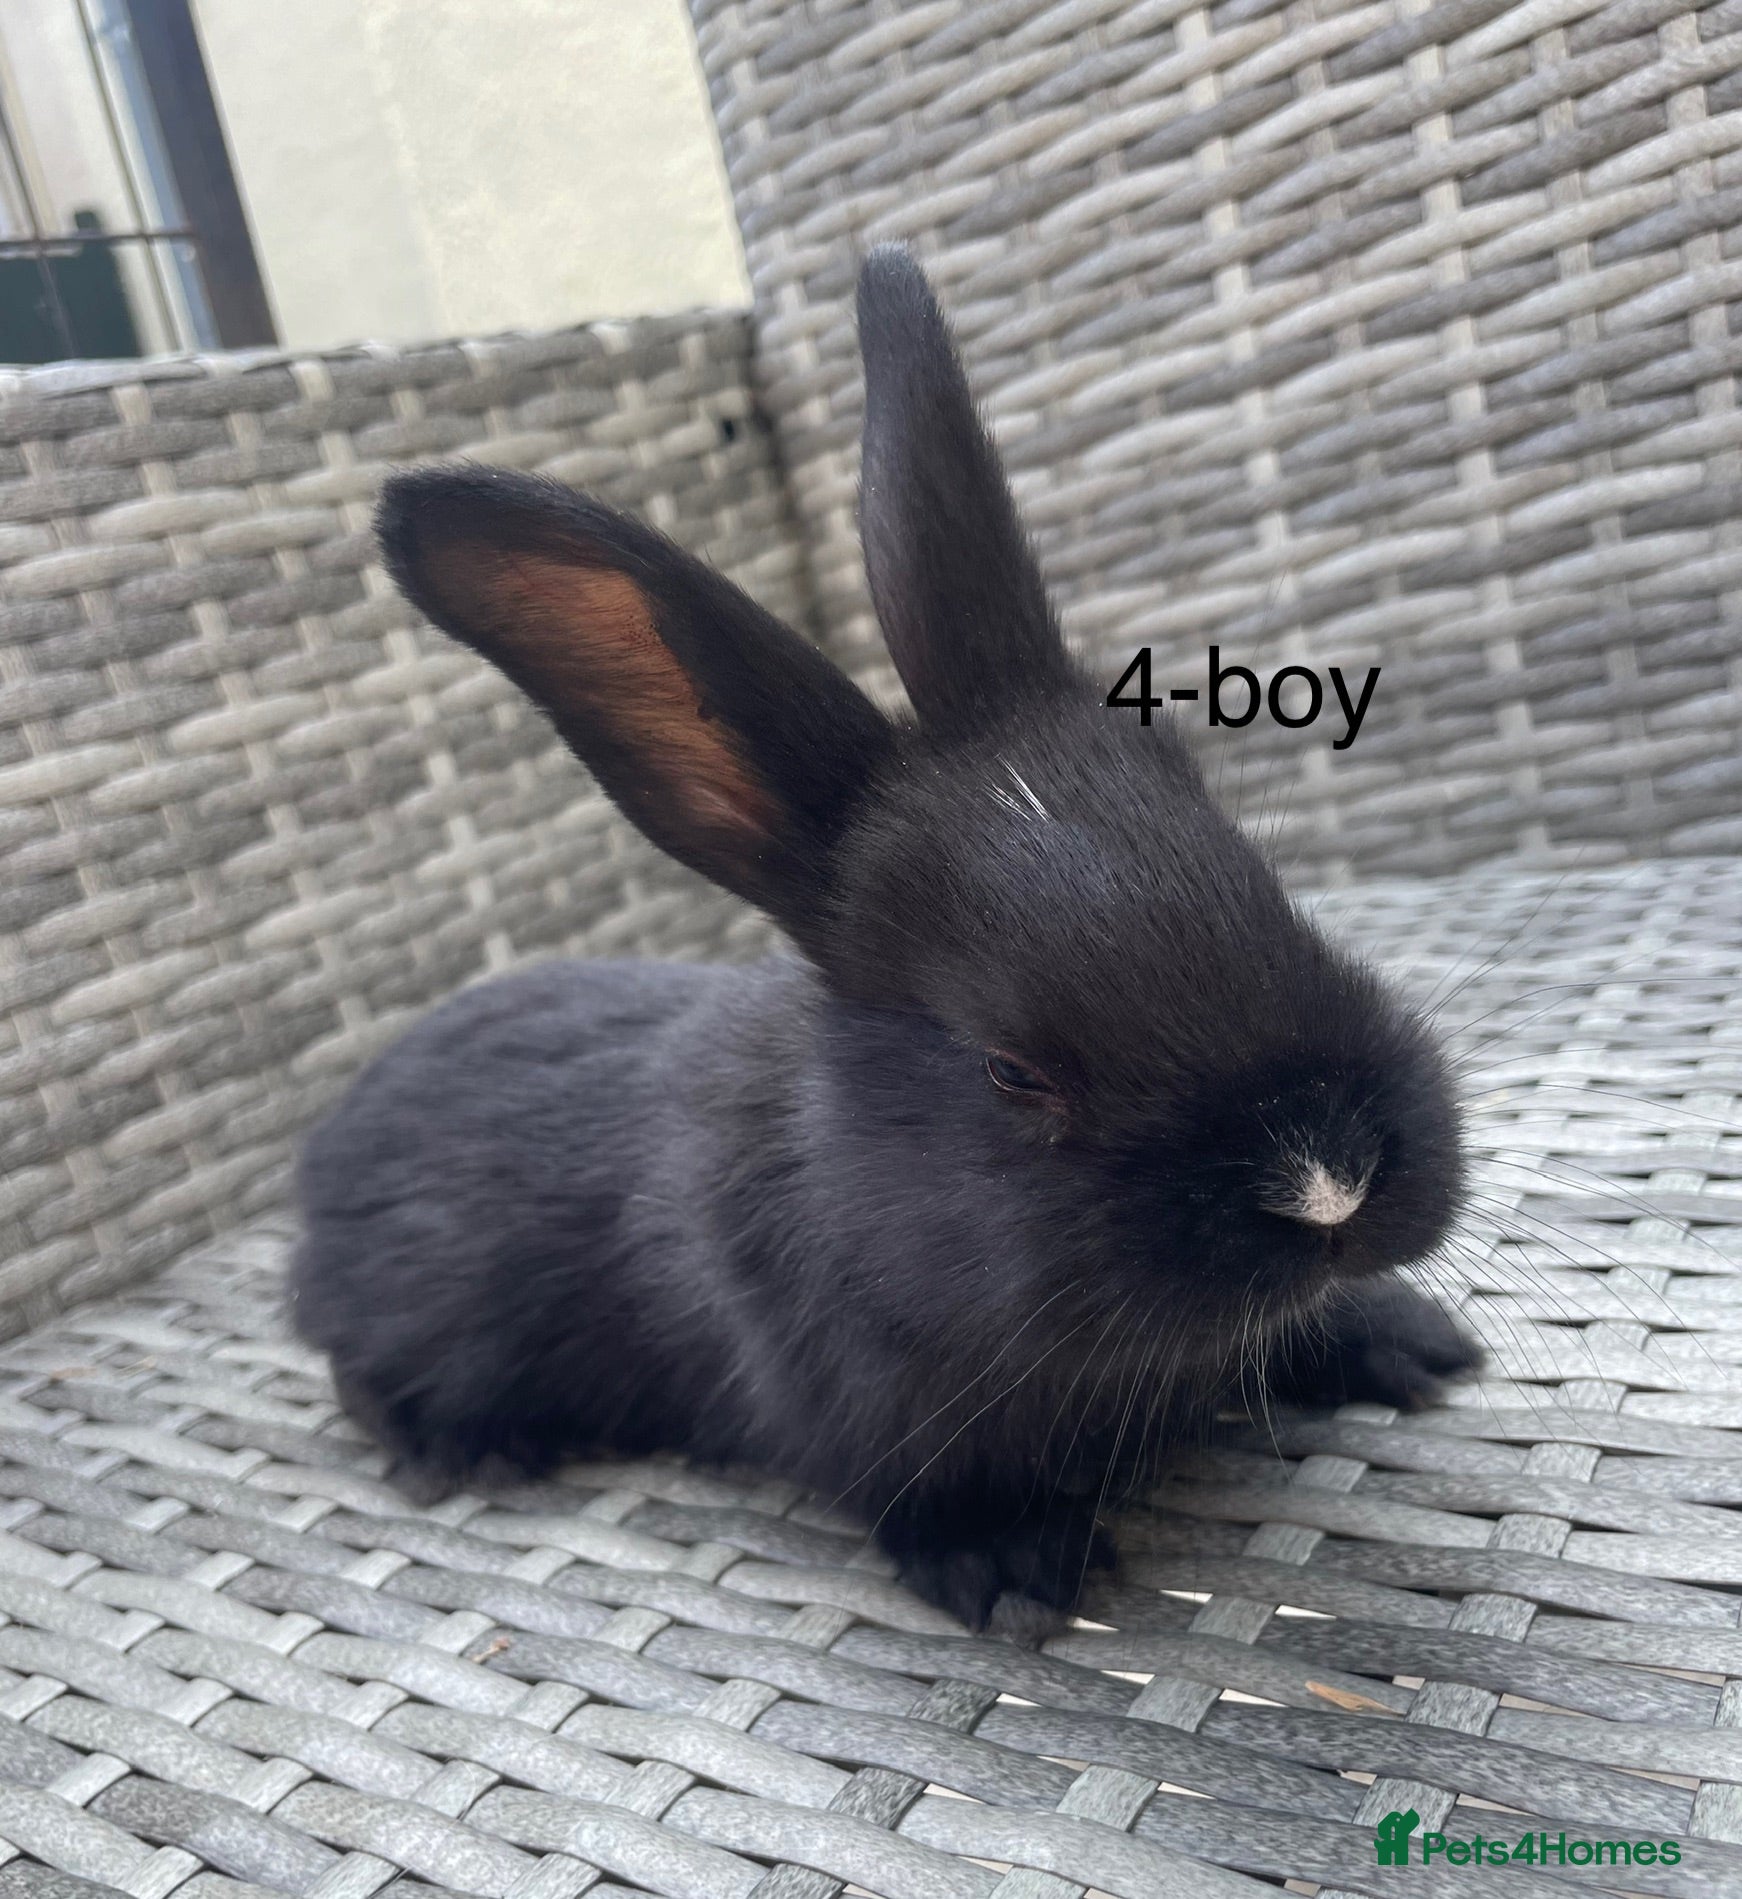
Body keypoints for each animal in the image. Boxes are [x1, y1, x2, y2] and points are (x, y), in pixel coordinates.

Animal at [292, 244, 1477, 1634]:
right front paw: (1014, 1573)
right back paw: (470, 1450)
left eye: (1264, 885)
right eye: (1008, 1069)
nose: (1329, 1184)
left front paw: (1412, 1343)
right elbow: (923, 1499)